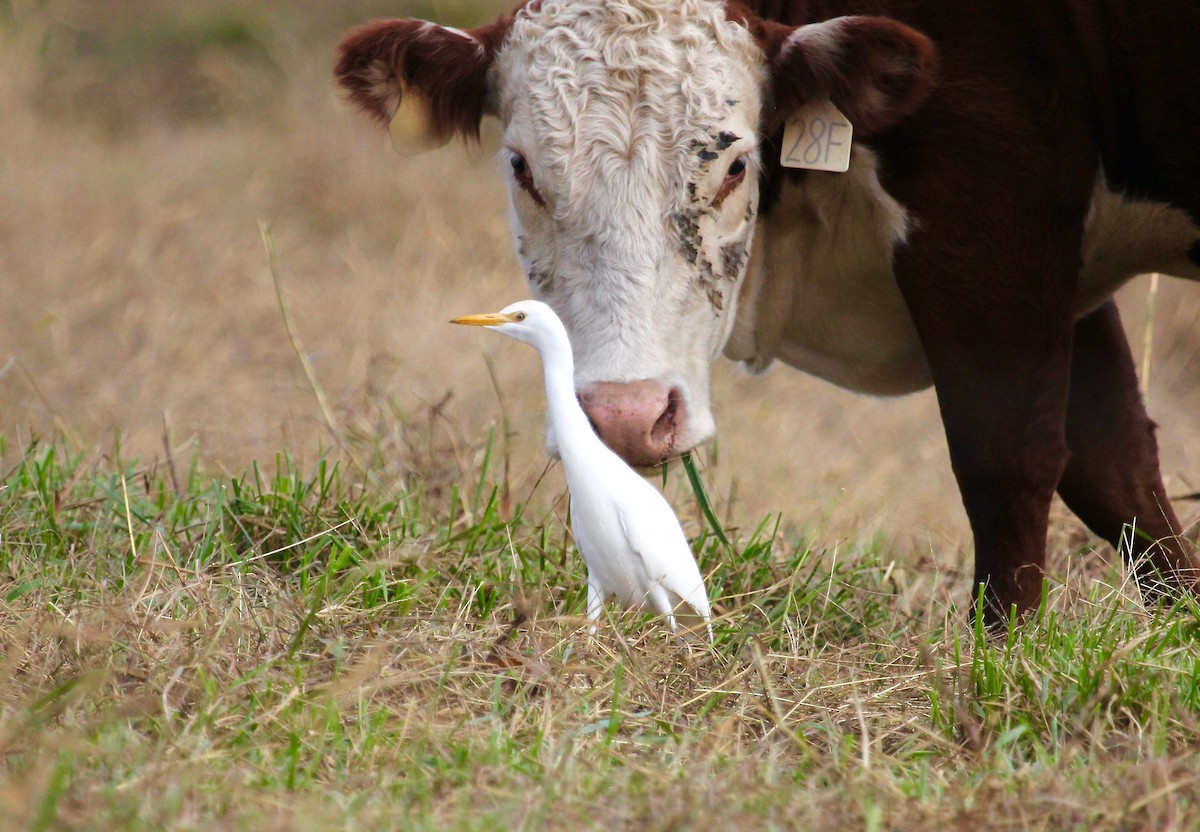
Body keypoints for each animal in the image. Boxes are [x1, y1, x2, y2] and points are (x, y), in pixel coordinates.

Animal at [334, 0, 1200, 625]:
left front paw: (1003, 655)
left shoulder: (992, 218)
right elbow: (1116, 466)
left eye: (732, 165)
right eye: (522, 169)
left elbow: (1010, 461)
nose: (623, 418)